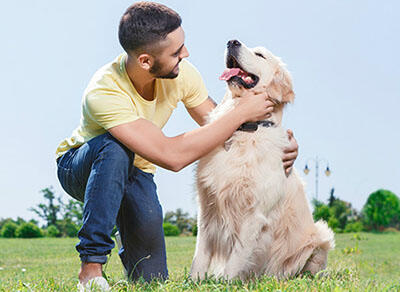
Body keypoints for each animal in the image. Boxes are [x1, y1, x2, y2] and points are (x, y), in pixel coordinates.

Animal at [191, 40, 334, 280]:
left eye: (260, 55)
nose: (232, 41)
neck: (245, 129)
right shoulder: (208, 208)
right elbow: (199, 256)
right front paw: (194, 281)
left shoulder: (254, 214)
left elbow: (236, 259)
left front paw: (225, 283)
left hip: (320, 238)